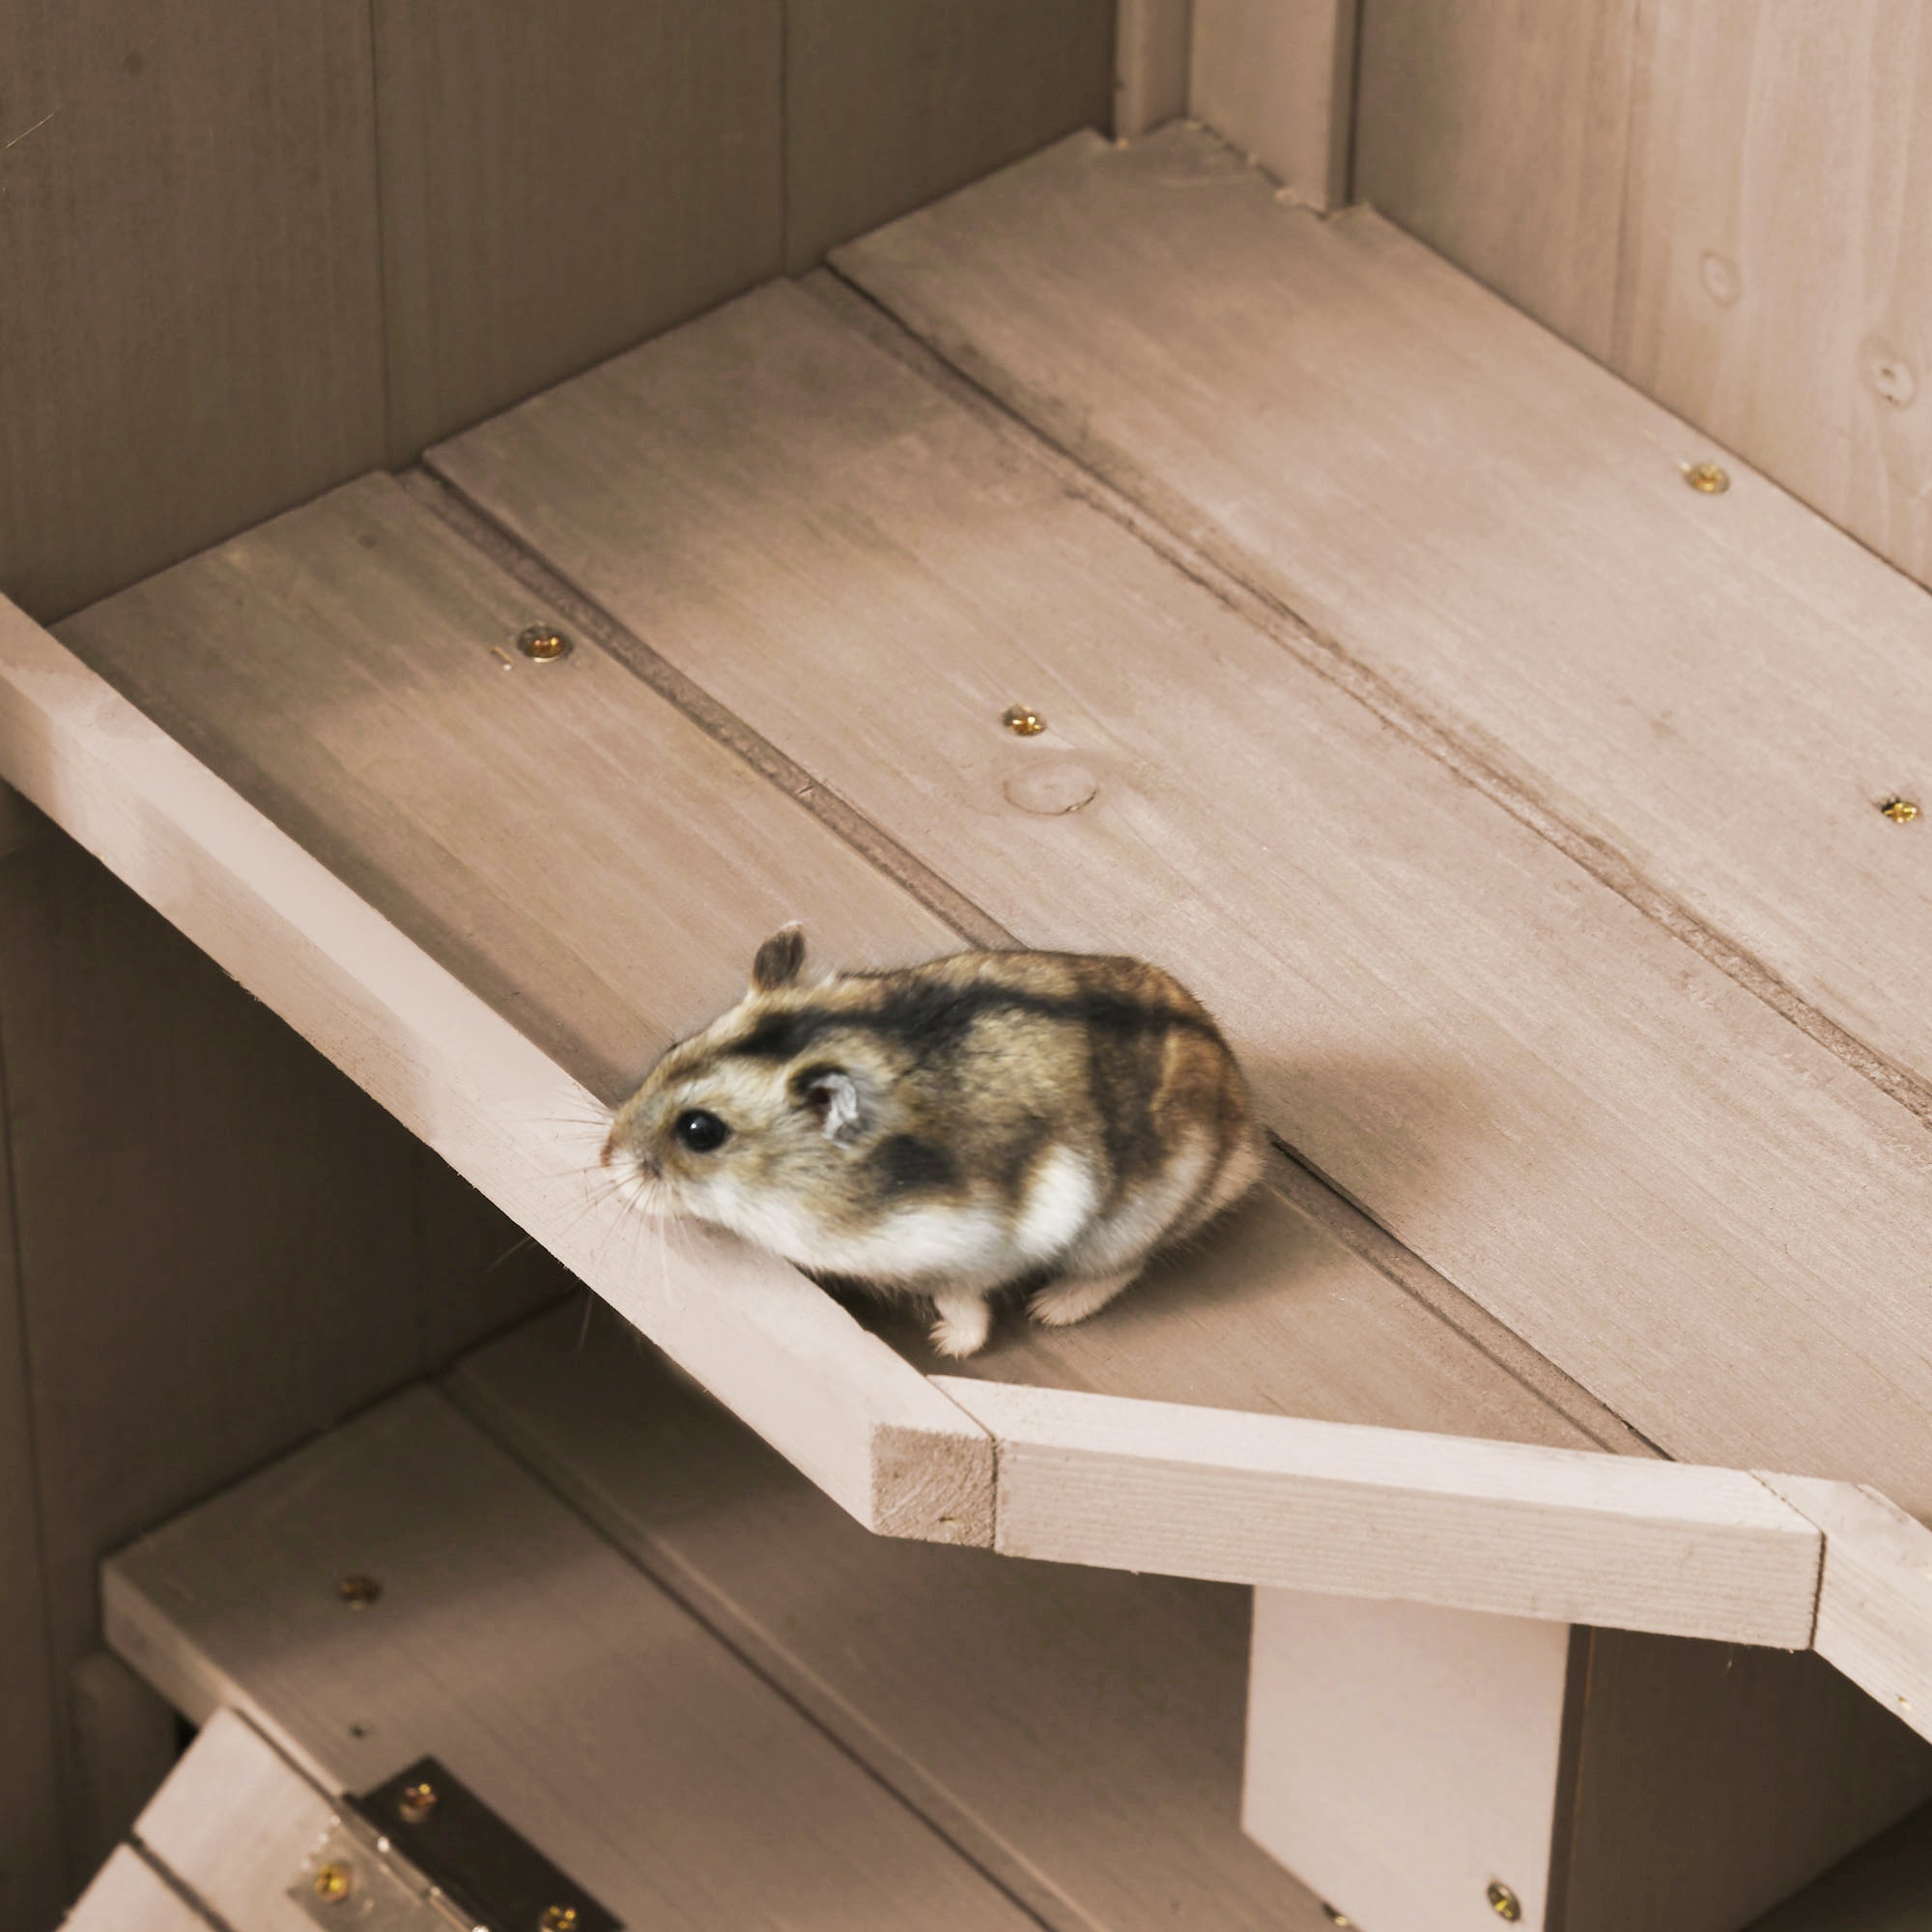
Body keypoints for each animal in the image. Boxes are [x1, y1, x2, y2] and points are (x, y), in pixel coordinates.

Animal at [603, 923, 1267, 1352]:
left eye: (700, 1131)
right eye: (672, 1047)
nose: (605, 1162)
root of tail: (1246, 1136)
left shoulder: (958, 1252)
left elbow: (963, 1302)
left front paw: (947, 1343)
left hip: (1125, 1229)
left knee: (1122, 1269)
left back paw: (1049, 1310)